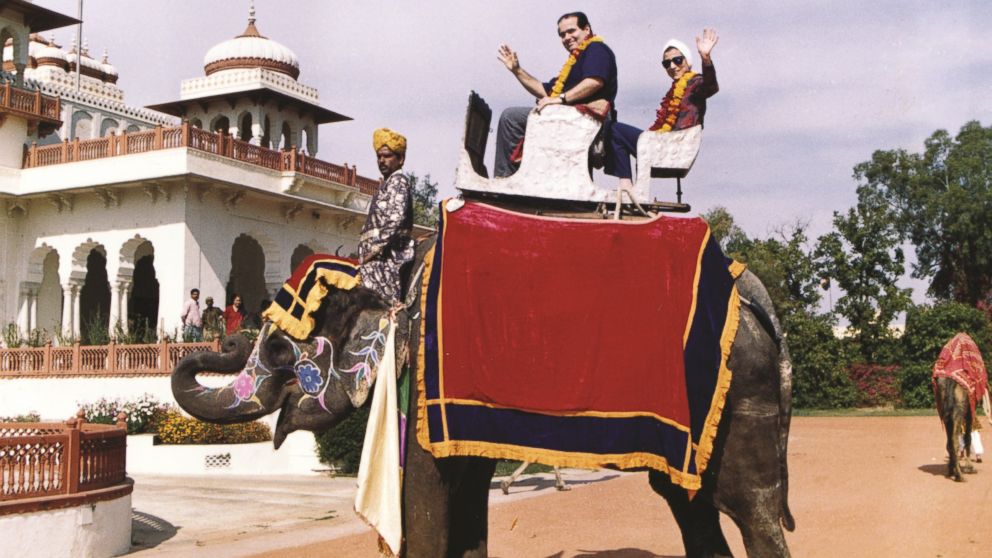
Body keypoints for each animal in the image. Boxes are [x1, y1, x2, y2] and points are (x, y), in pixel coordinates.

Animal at [169, 234, 792, 556]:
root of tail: (754, 293)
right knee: (691, 504)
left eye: (279, 351)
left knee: (749, 507)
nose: (225, 331)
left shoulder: (423, 382)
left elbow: (424, 502)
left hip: (740, 389)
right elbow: (464, 499)